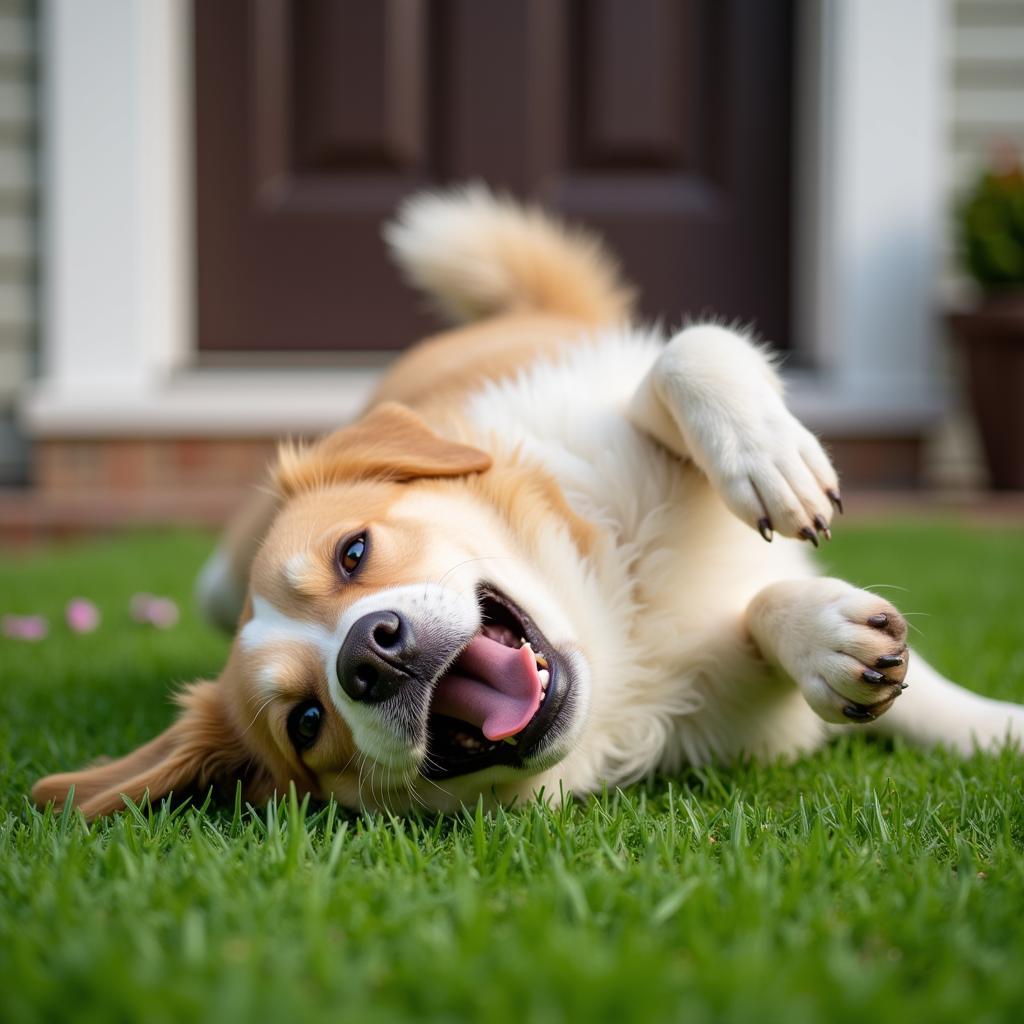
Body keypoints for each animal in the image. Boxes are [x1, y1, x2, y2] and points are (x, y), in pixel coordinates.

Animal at [29, 188, 1024, 819]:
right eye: (306, 724)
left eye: (354, 552)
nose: (370, 656)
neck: (620, 631)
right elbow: (771, 620)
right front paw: (825, 642)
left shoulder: (618, 415)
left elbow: (693, 349)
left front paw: (768, 463)